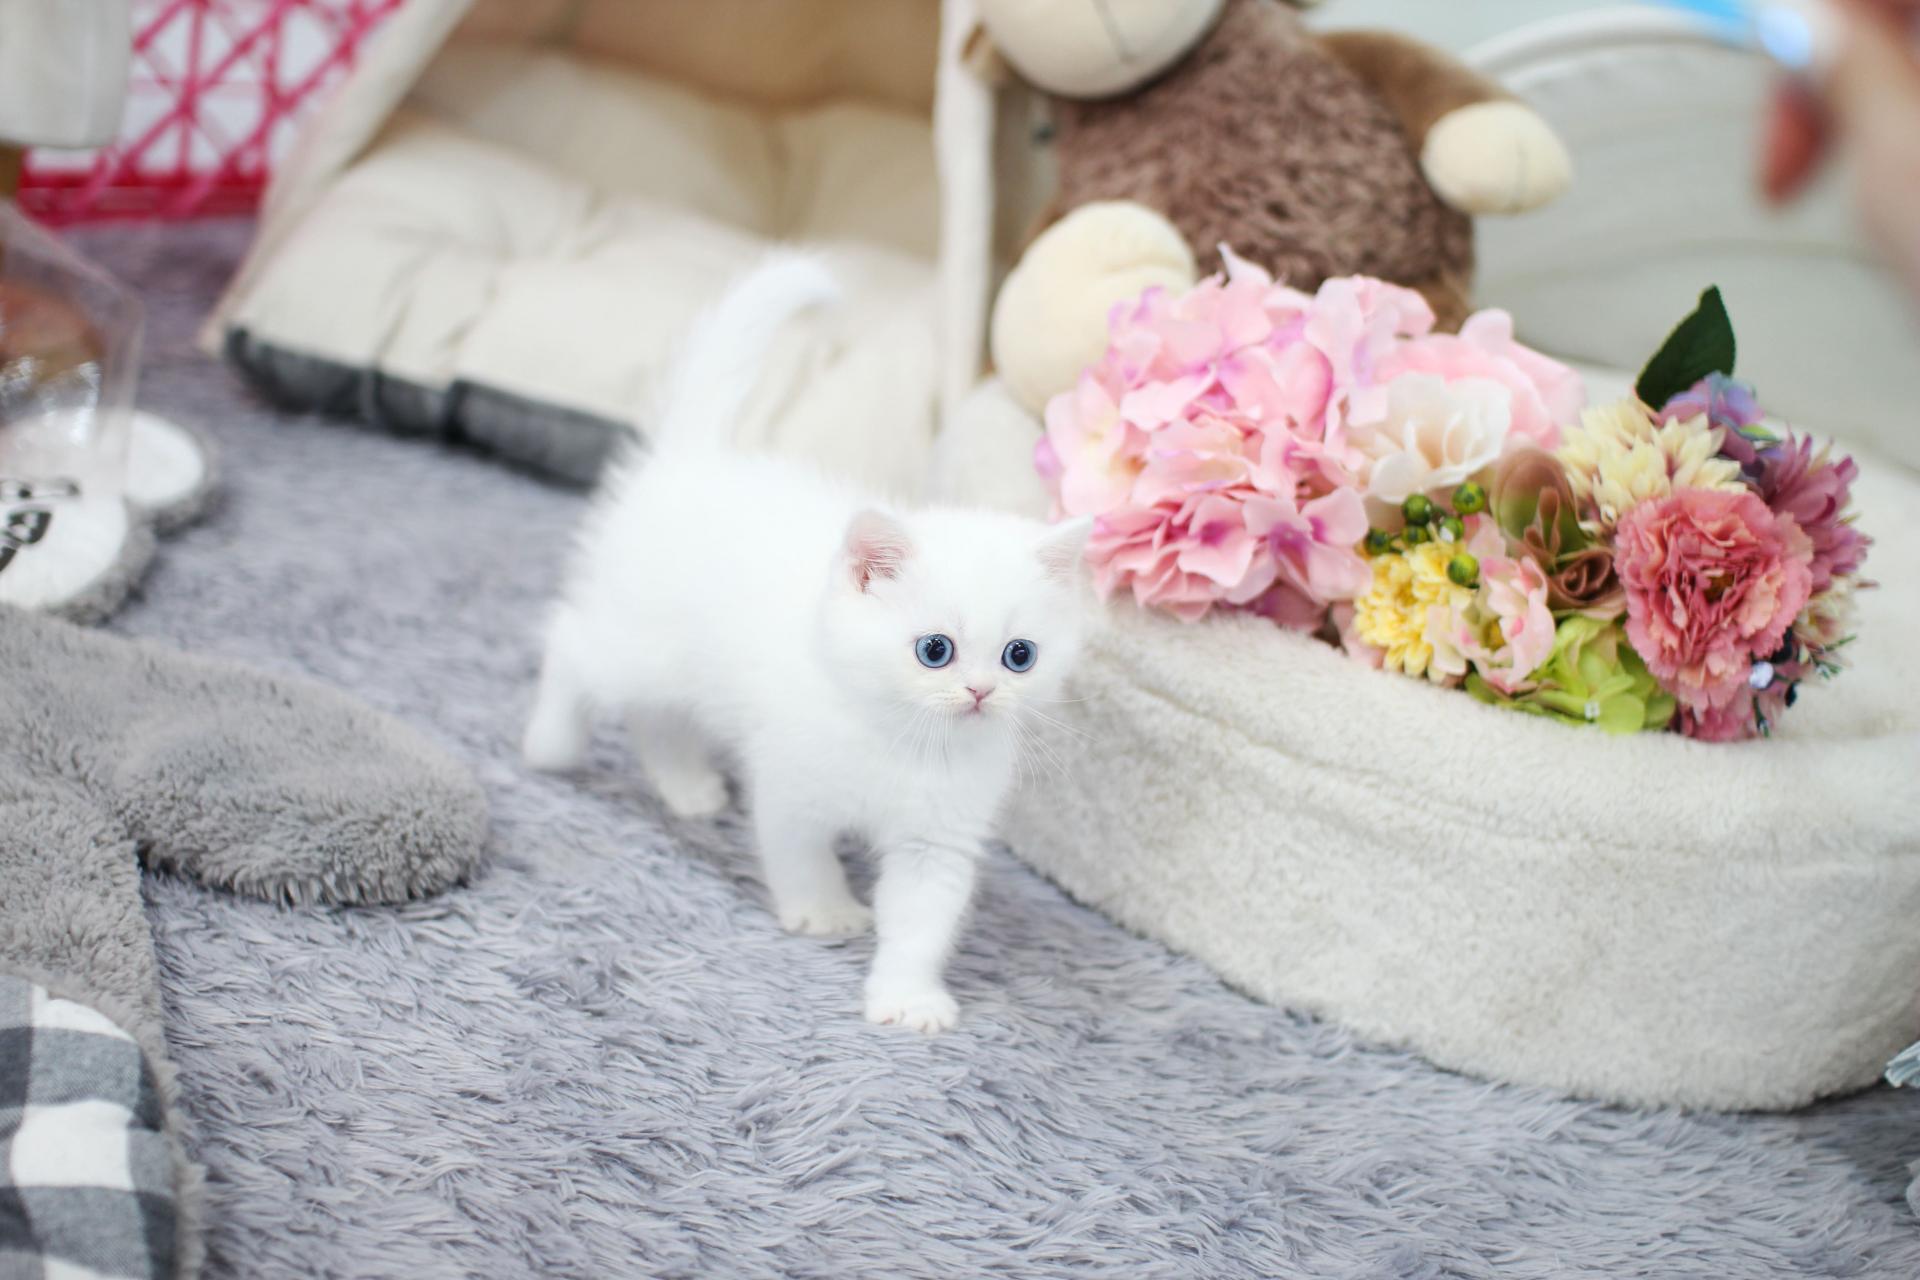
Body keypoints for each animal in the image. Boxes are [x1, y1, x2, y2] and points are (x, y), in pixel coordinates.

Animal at [523, 254, 1092, 1033]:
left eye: (1020, 656)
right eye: (935, 650)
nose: (980, 691)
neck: (902, 740)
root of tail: (692, 459)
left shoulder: (938, 838)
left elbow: (922, 918)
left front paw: (908, 996)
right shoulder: (791, 785)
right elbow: (798, 852)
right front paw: (824, 911)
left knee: (657, 716)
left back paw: (685, 785)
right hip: (642, 645)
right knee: (572, 641)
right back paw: (549, 743)